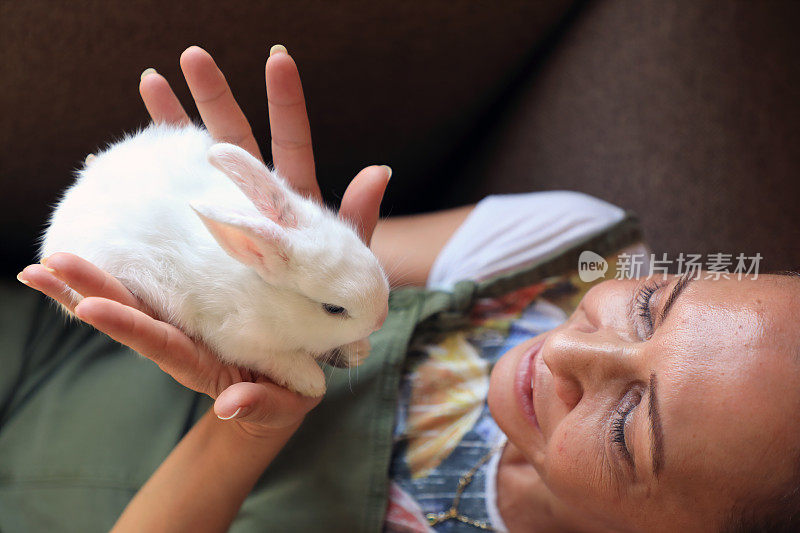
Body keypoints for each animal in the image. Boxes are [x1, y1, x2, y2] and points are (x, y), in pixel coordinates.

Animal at [40, 123, 390, 394]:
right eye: (334, 309)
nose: (381, 319)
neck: (268, 298)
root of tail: (76, 191)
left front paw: (359, 351)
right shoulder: (237, 339)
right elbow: (282, 361)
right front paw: (312, 382)